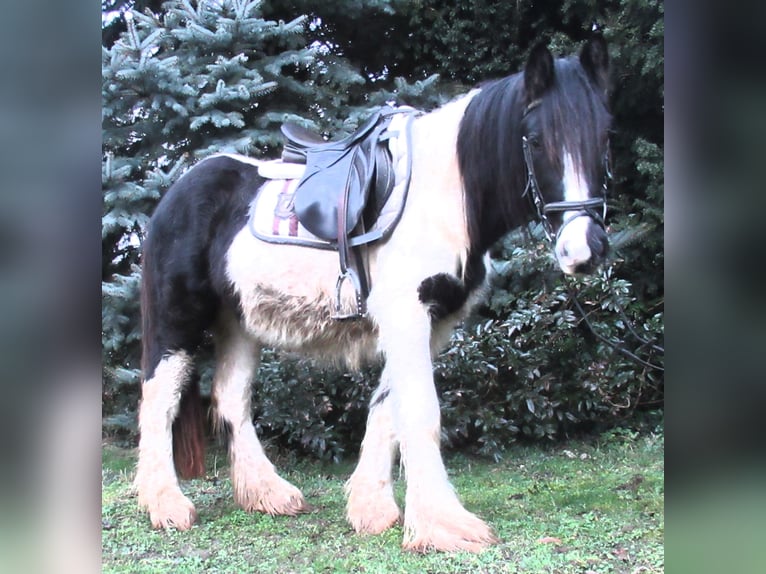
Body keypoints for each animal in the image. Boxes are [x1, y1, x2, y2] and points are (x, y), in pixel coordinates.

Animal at [135, 36, 616, 552]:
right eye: (537, 140)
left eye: (605, 135)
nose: (584, 248)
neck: (443, 196)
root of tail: (176, 190)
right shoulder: (408, 314)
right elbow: (421, 412)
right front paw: (445, 527)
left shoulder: (429, 322)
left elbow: (388, 409)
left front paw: (373, 510)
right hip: (176, 318)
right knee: (159, 398)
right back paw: (165, 505)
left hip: (239, 320)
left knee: (230, 399)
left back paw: (267, 494)